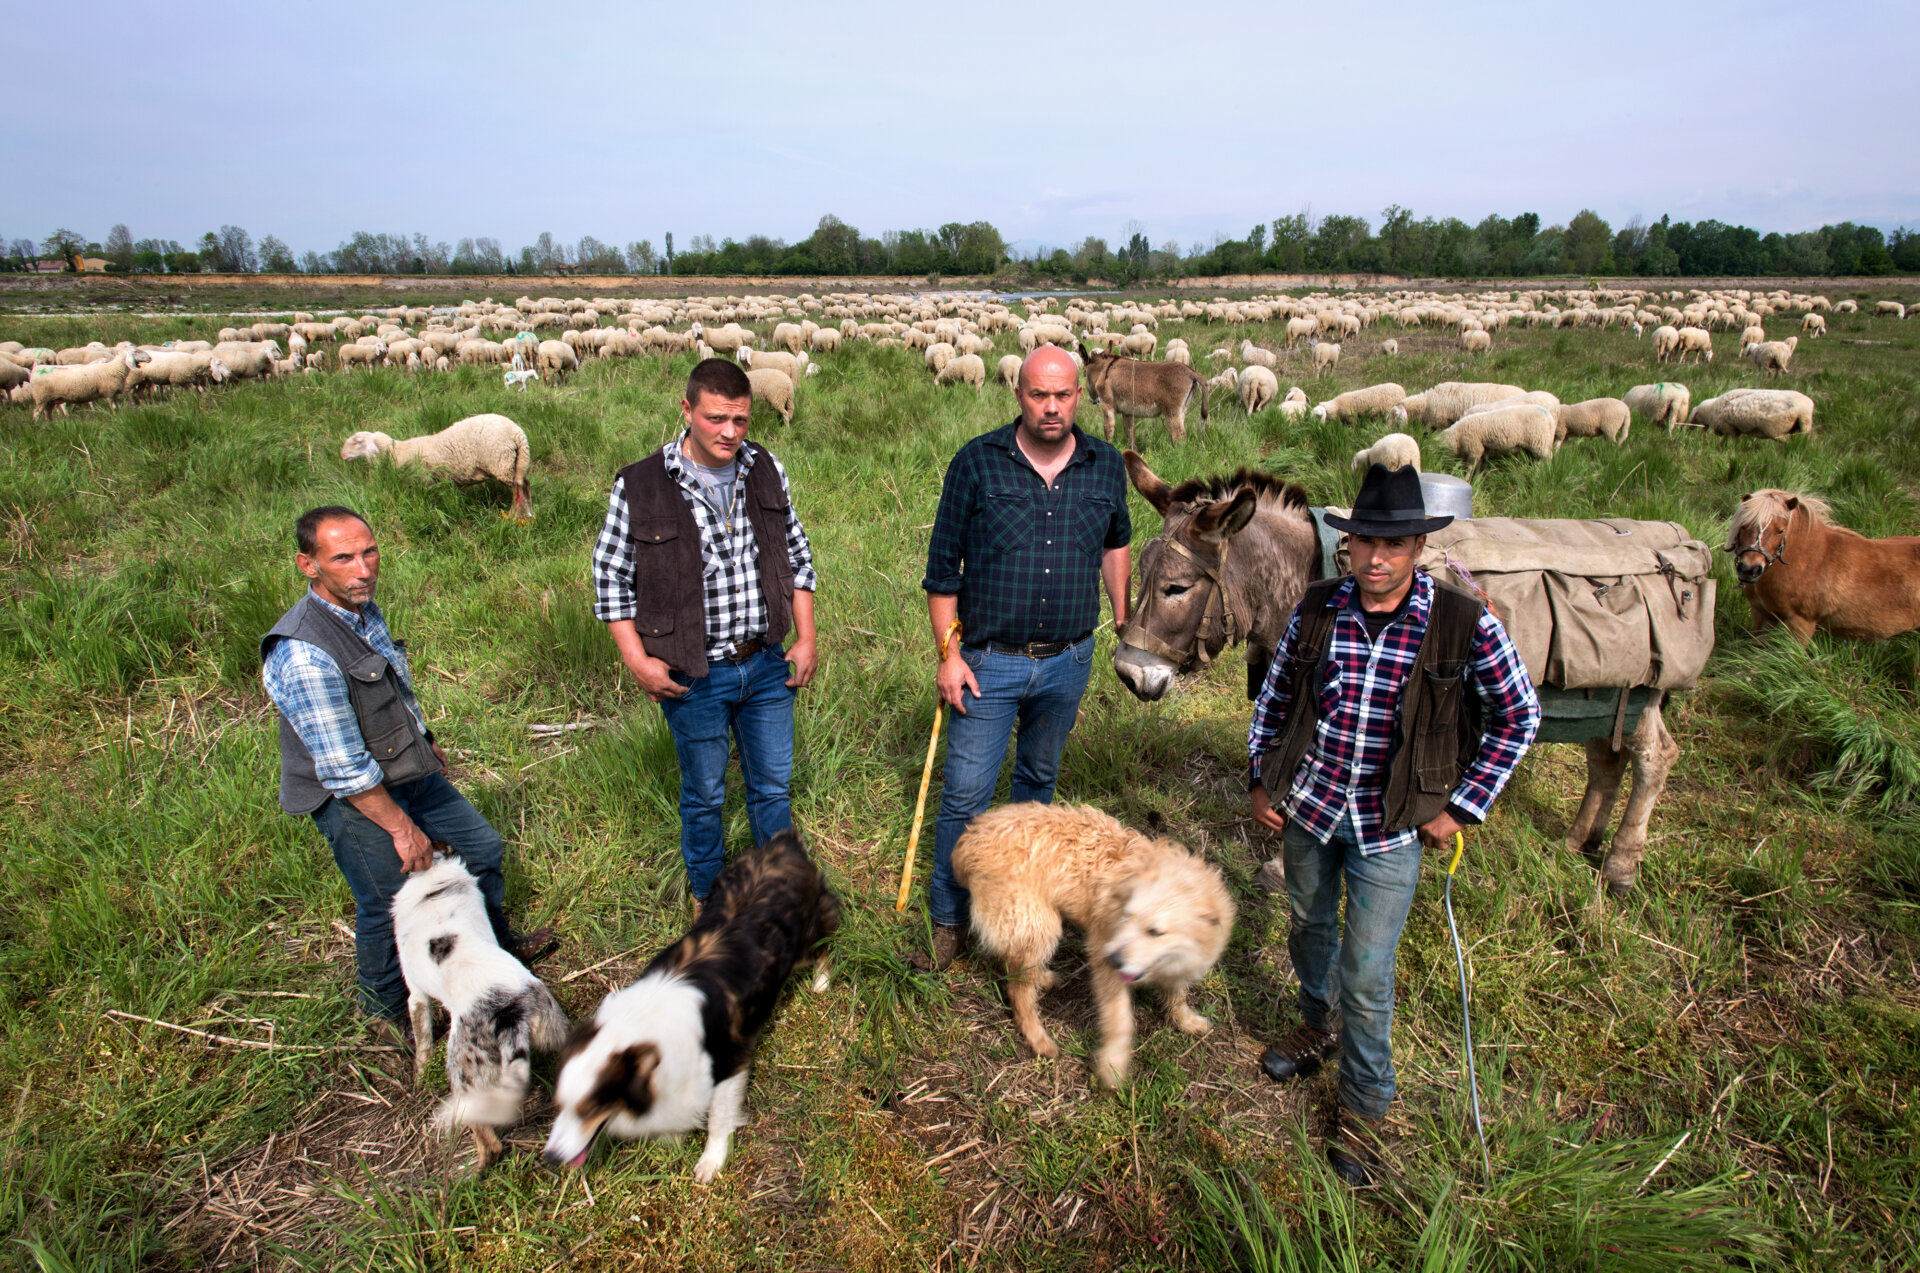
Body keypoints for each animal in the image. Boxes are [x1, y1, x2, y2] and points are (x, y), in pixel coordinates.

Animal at [341, 412, 537, 522]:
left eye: (358, 441)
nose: (342, 455)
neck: (396, 452)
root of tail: (517, 433)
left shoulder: (425, 480)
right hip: (517, 461)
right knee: (524, 484)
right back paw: (529, 513)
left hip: (501, 461)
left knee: (516, 489)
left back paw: (513, 515)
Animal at [952, 806, 1236, 1082]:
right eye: (1127, 915)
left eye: (1155, 932)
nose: (1114, 960)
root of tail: (969, 839)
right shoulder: (1105, 952)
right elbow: (1119, 1018)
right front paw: (1113, 1066)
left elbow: (1177, 995)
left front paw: (1186, 1020)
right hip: (1038, 923)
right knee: (1018, 991)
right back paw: (1039, 1038)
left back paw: (1042, 977)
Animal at [1728, 489, 1920, 641]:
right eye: (1744, 526)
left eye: (1780, 530)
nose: (1749, 569)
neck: (1807, 560)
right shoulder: (1762, 615)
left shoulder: (1801, 625)